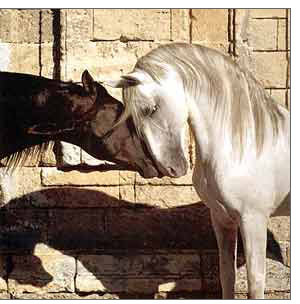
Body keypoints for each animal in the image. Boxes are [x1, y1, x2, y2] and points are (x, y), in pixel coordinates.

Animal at [106, 43, 290, 300]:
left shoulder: (253, 220)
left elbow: (255, 283)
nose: (171, 167)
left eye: (152, 109)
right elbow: (227, 275)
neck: (244, 146)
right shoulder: (222, 219)